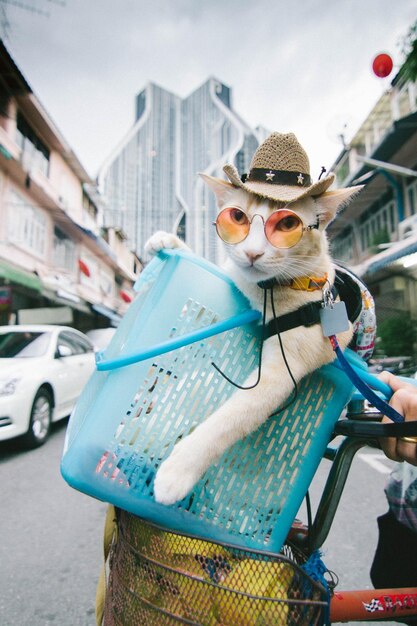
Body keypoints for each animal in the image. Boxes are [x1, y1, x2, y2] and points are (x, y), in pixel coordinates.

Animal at [143, 133, 358, 508]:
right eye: (237, 218)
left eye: (287, 225)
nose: (253, 253)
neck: (268, 292)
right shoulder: (236, 278)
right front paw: (169, 241)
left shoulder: (278, 376)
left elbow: (228, 421)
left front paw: (176, 473)